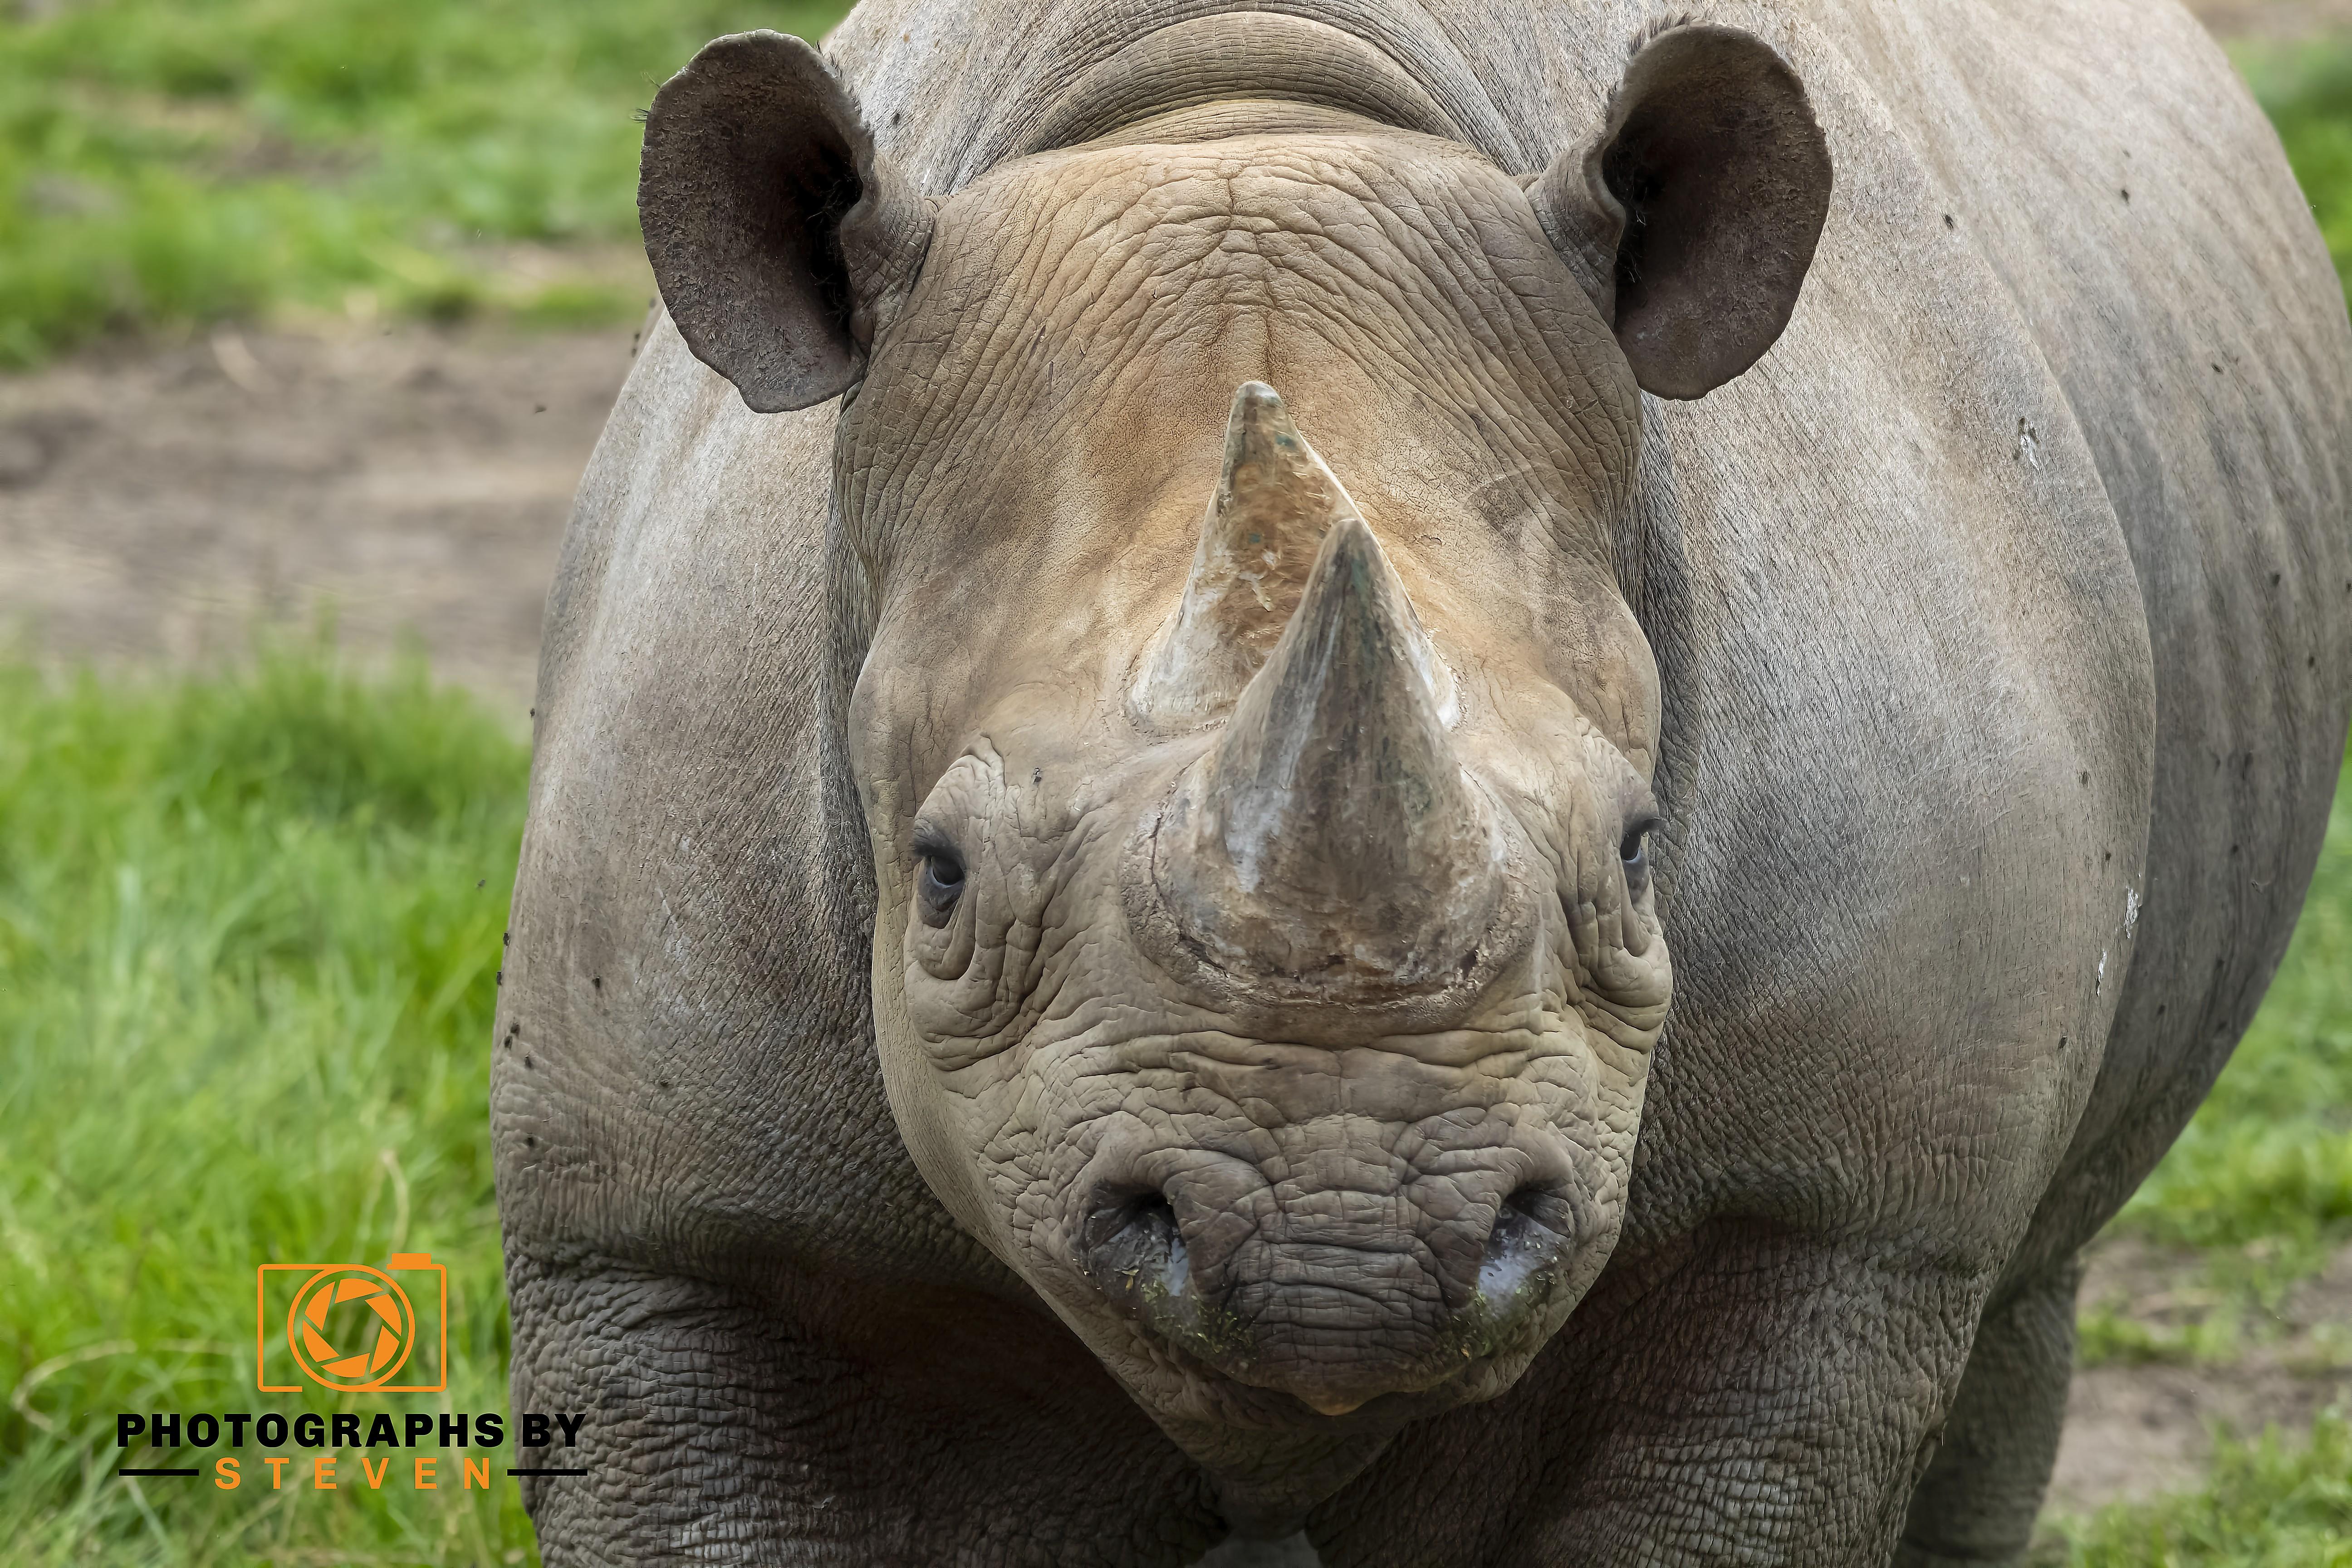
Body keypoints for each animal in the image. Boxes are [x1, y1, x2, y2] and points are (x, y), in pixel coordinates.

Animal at [491, 0, 2352, 1561]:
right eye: (937, 877)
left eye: (1640, 850)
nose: (1344, 1246)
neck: (1234, 104)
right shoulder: (666, 1230)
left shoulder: (1835, 1215)